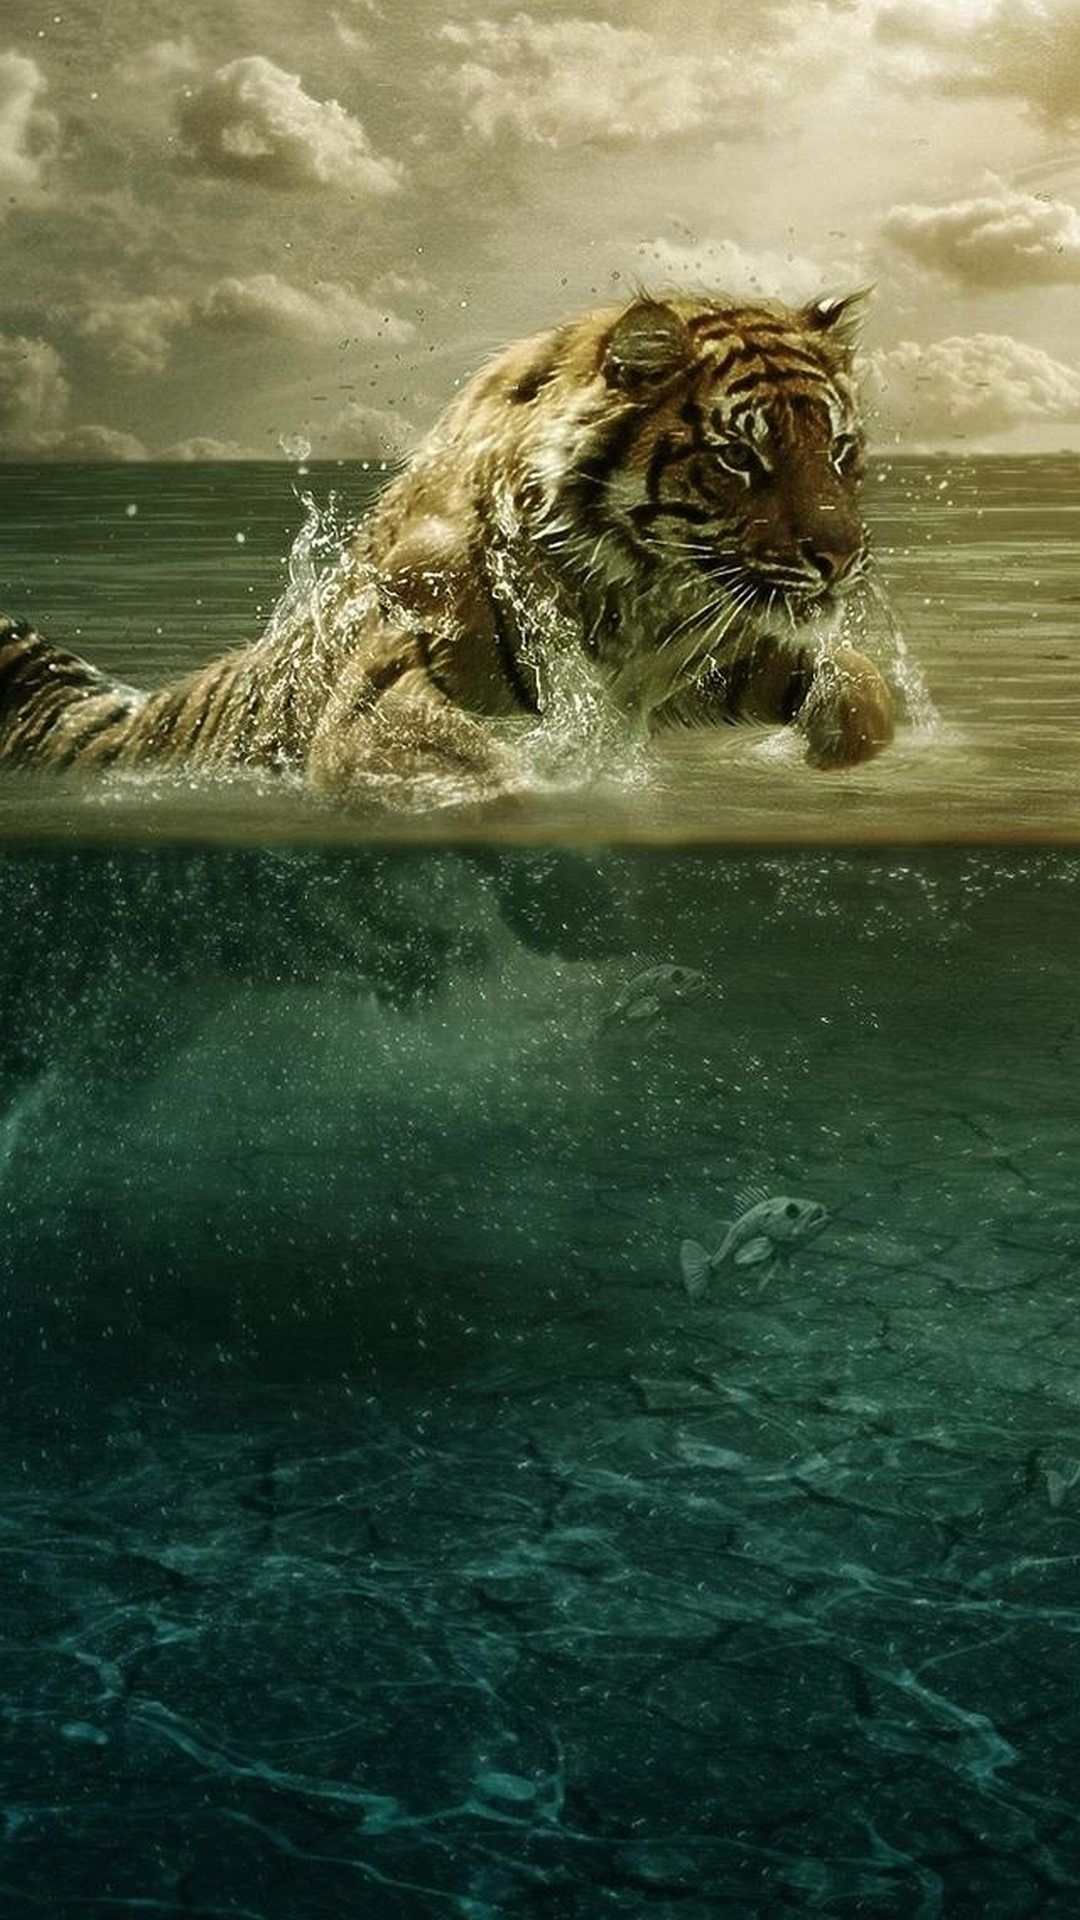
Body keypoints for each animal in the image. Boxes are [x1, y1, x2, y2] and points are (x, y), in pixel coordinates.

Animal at [0, 291, 894, 799]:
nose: (840, 558)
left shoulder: (694, 663)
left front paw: (837, 753)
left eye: (840, 448)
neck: (632, 594)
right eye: (739, 457)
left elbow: (863, 689)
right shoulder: (380, 697)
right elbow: (479, 775)